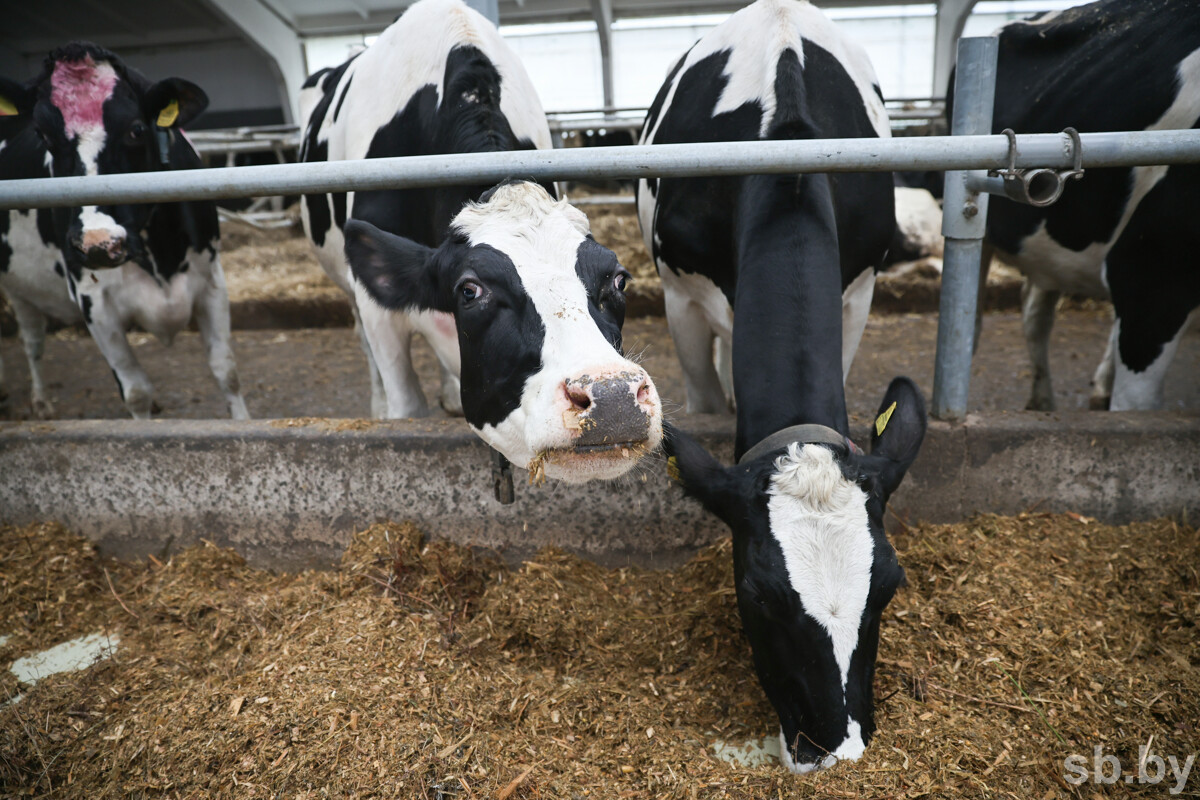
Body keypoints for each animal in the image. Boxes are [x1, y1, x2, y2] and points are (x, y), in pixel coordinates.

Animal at [0, 43, 248, 419]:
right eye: (42, 134)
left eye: (136, 130)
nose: (97, 243)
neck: (161, 258)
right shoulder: (94, 302)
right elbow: (136, 392)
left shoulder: (212, 280)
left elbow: (227, 371)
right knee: (32, 340)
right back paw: (40, 402)